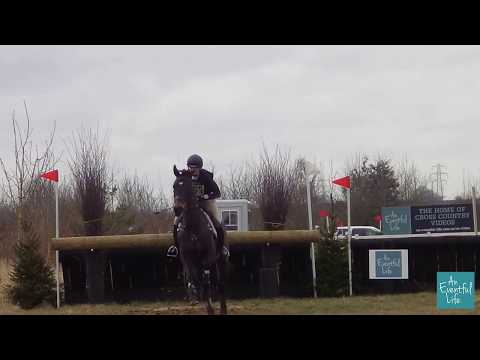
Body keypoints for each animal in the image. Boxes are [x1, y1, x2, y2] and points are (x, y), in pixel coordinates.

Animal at [172, 166, 228, 316]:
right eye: (174, 186)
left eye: (187, 186)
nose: (177, 209)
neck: (193, 228)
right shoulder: (186, 257)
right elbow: (193, 276)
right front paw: (194, 294)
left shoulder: (208, 256)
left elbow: (204, 276)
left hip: (220, 261)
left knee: (220, 283)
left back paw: (222, 309)